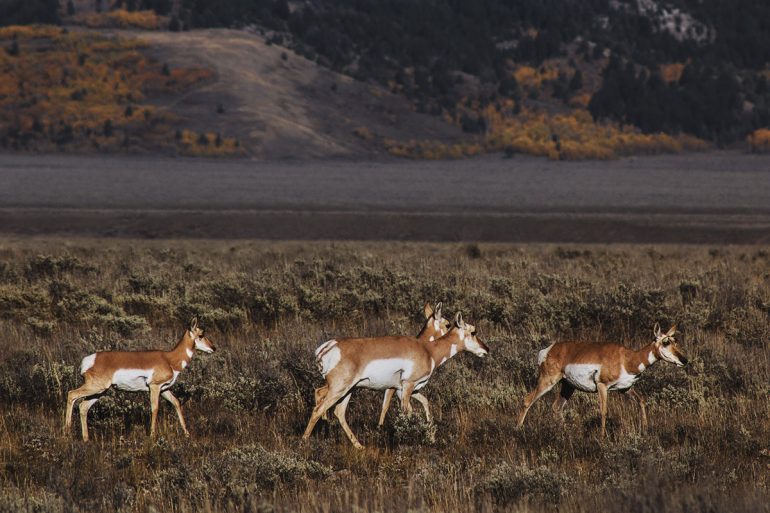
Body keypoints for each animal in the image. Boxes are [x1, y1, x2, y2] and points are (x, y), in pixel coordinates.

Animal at [65, 316, 214, 440]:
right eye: (201, 335)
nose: (214, 348)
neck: (169, 359)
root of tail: (89, 360)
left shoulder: (164, 389)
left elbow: (176, 402)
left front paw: (187, 433)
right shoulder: (154, 387)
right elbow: (155, 408)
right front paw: (152, 435)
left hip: (100, 391)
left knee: (83, 406)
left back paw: (86, 438)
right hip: (96, 387)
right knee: (71, 394)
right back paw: (66, 433)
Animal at [302, 310, 486, 446]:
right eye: (473, 331)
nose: (487, 349)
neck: (428, 350)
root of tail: (329, 346)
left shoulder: (405, 390)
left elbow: (424, 404)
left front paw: (430, 437)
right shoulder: (407, 387)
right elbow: (405, 413)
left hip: (348, 390)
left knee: (337, 410)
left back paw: (359, 446)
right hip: (339, 389)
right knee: (318, 409)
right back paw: (305, 442)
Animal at [516, 324, 684, 436]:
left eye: (676, 341)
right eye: (665, 342)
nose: (685, 360)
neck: (627, 359)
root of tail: (549, 349)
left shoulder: (626, 389)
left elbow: (641, 400)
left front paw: (645, 430)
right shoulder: (602, 386)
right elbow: (603, 411)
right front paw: (602, 437)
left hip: (568, 386)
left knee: (556, 407)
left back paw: (566, 432)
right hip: (547, 381)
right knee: (527, 400)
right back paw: (517, 430)